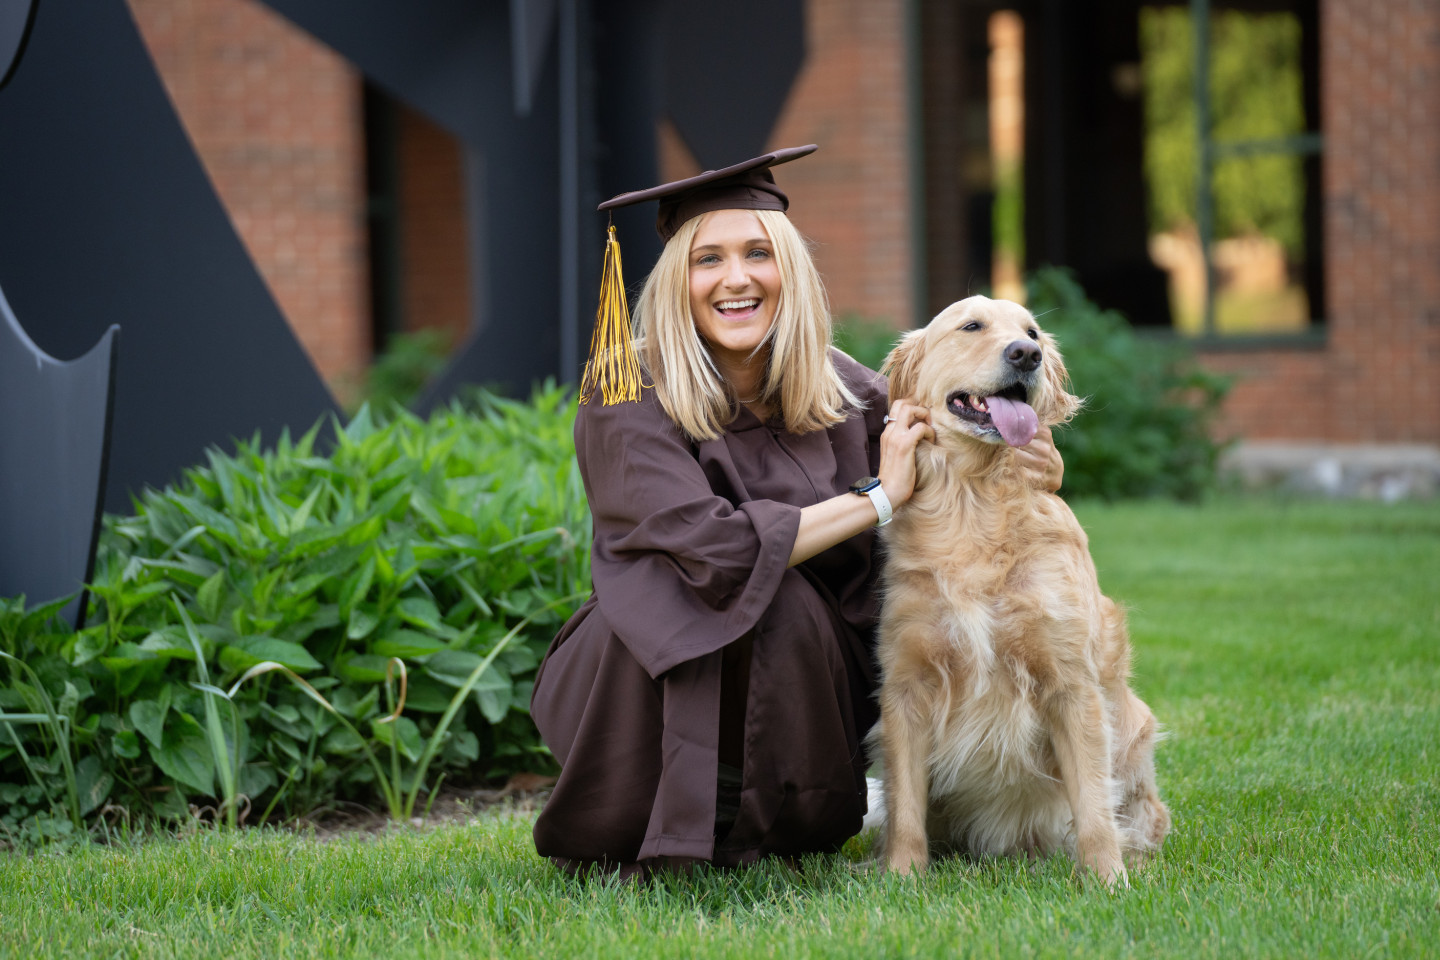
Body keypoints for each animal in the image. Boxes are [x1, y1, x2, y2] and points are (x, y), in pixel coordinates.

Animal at [864, 296, 1169, 892]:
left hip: (1134, 730)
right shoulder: (906, 685)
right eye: (971, 326)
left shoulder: (1070, 683)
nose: (1026, 355)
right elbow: (905, 805)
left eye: (1032, 332)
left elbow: (1093, 805)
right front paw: (902, 877)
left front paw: (1108, 881)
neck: (973, 500)